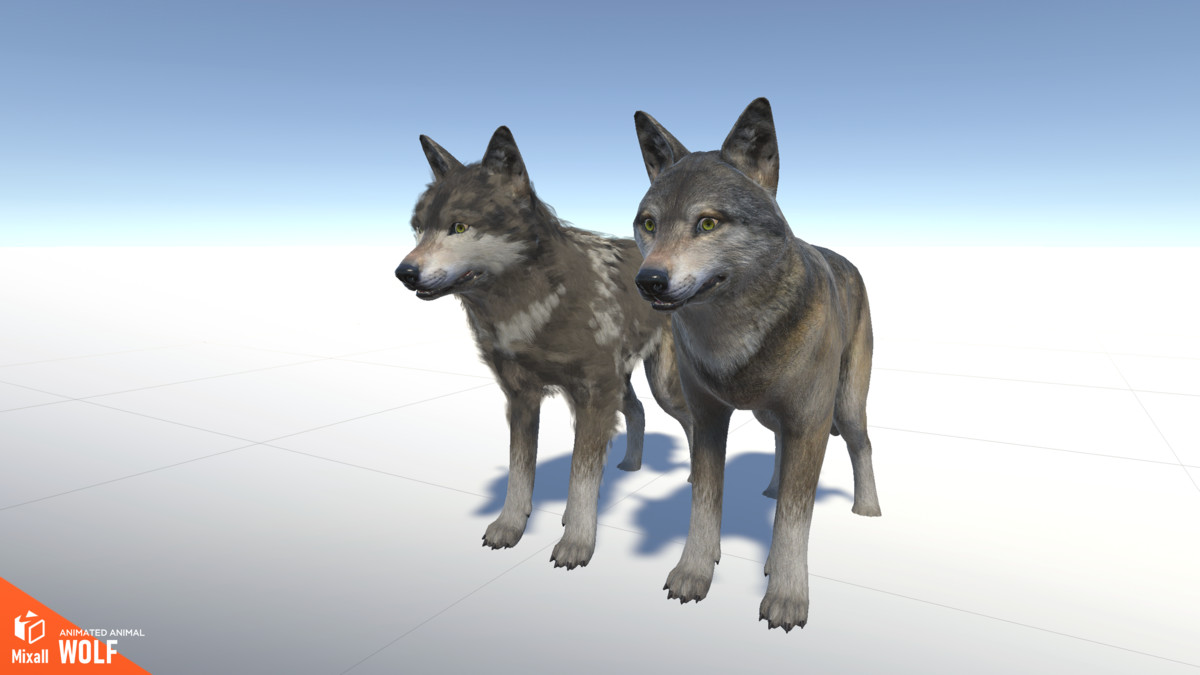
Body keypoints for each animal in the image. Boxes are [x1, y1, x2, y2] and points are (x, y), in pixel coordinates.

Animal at [395, 126, 693, 569]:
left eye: (459, 228)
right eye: (418, 229)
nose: (404, 273)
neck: (534, 305)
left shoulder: (592, 395)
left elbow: (581, 476)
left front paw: (577, 543)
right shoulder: (522, 397)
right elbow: (520, 471)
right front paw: (509, 526)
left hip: (662, 386)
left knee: (690, 420)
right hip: (621, 388)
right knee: (638, 411)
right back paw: (629, 465)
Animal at [630, 98, 881, 631]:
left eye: (707, 223)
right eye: (649, 224)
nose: (649, 281)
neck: (734, 337)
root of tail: (846, 260)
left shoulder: (810, 420)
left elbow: (794, 518)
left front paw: (786, 597)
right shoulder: (707, 419)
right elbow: (704, 503)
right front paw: (693, 573)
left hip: (845, 408)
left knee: (861, 444)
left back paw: (867, 510)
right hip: (769, 415)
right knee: (779, 448)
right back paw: (768, 490)